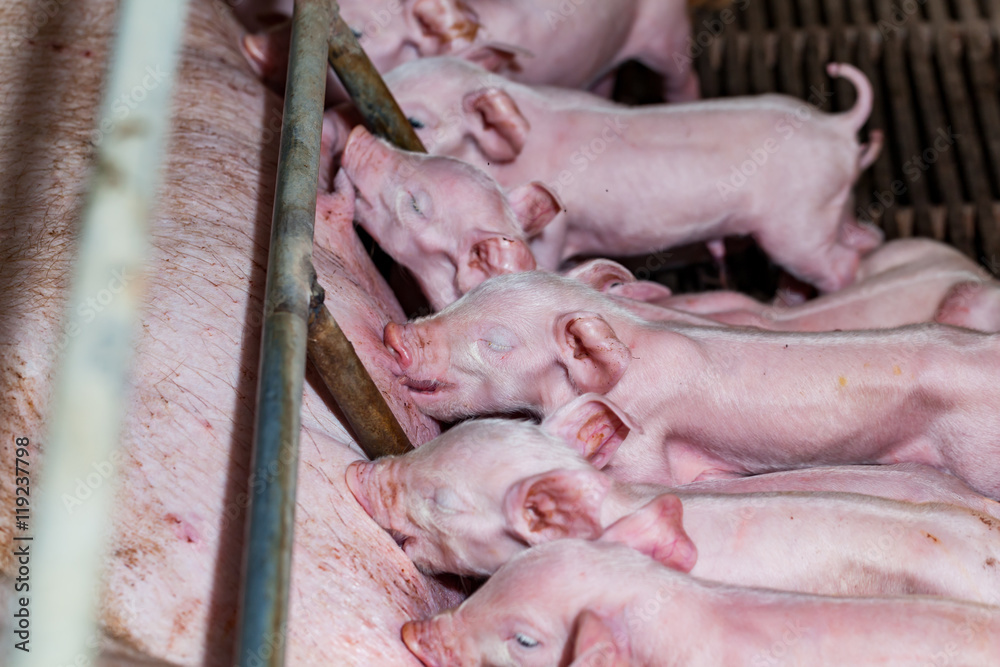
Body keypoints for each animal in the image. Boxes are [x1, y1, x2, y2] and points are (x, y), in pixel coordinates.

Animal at [370, 56, 884, 294]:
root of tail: (839, 125)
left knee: (841, 266)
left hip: (796, 226)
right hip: (828, 209)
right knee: (865, 237)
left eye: (415, 120)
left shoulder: (553, 231)